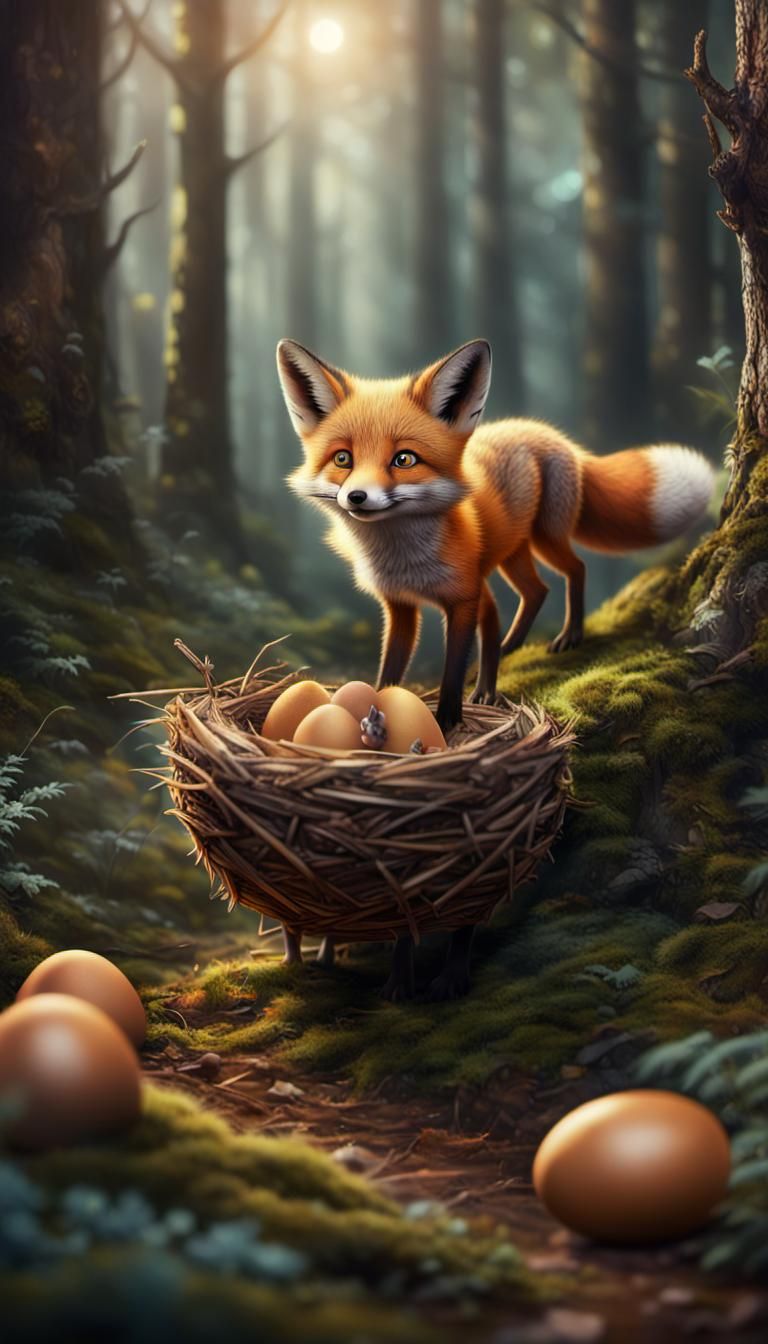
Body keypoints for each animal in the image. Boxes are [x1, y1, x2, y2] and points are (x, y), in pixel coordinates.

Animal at [276, 337, 715, 733]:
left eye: (404, 459)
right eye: (343, 459)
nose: (357, 497)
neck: (405, 561)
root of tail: (554, 436)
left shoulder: (463, 597)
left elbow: (454, 667)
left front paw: (448, 720)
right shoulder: (401, 606)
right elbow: (391, 670)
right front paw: (384, 703)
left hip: (544, 539)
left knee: (575, 569)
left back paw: (569, 635)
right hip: (510, 555)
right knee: (533, 594)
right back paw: (505, 655)